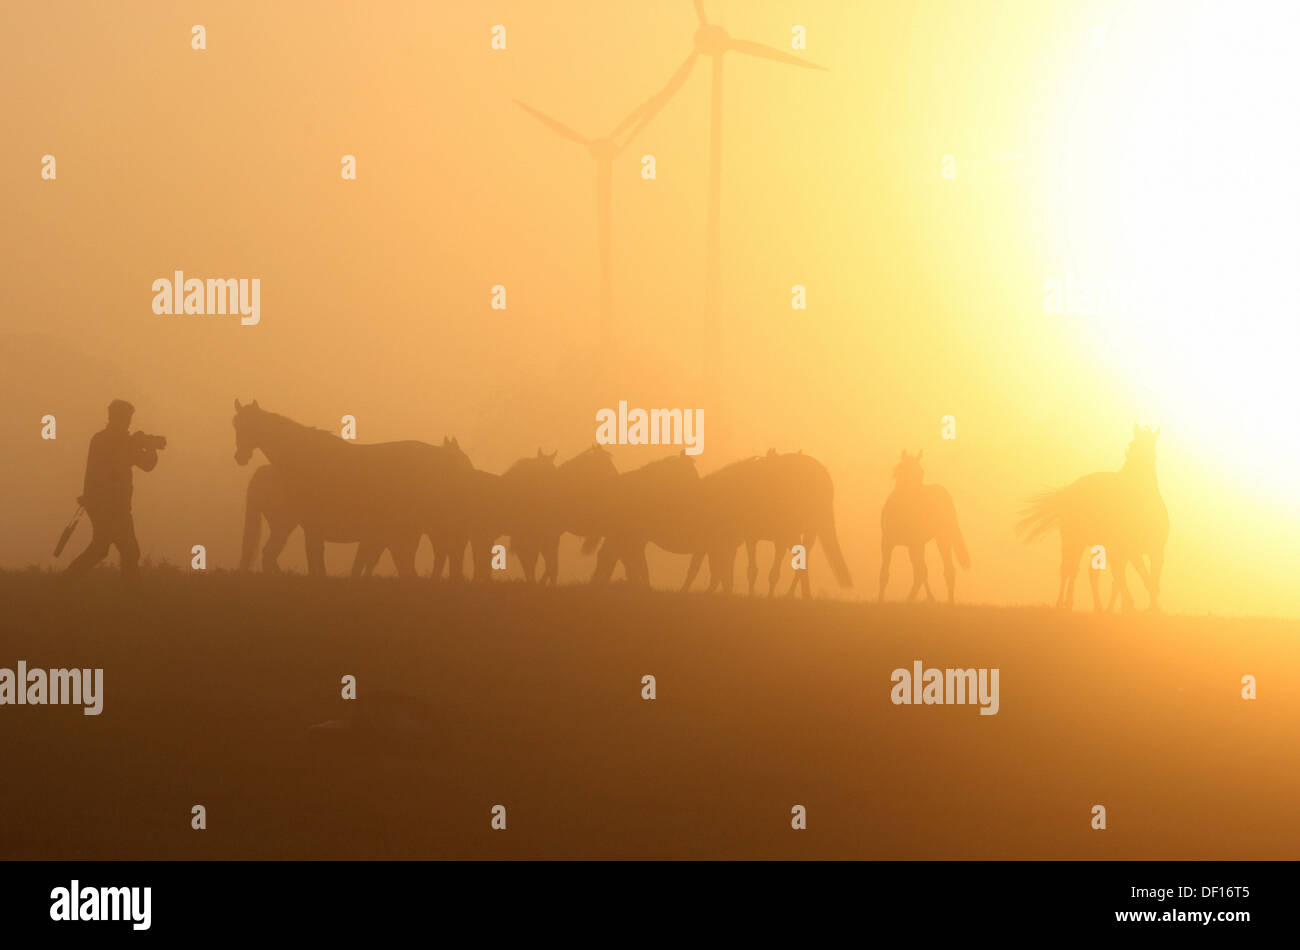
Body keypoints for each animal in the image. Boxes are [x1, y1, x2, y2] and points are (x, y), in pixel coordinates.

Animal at [878, 452, 972, 603]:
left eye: (921, 473)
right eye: (905, 473)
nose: (919, 503)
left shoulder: (915, 544)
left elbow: (920, 572)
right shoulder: (888, 542)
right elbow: (884, 573)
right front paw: (879, 600)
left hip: (942, 539)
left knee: (946, 570)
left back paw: (947, 602)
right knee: (928, 570)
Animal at [1013, 426, 1170, 613]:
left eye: (1151, 449)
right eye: (1131, 446)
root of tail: (1068, 491)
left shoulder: (1155, 551)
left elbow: (1150, 582)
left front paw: (1151, 610)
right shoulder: (1131, 552)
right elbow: (1140, 580)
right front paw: (1134, 608)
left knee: (1091, 572)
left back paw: (1098, 608)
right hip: (1073, 540)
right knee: (1069, 569)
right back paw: (1064, 604)